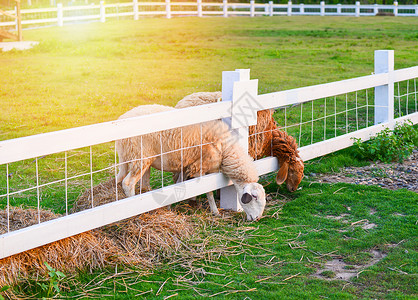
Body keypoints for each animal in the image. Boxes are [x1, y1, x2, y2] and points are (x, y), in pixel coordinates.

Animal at [115, 104, 264, 221]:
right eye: (254, 197)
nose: (257, 218)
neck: (225, 148)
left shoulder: (187, 166)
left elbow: (179, 183)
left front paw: (170, 206)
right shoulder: (201, 166)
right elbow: (208, 191)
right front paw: (215, 211)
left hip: (134, 158)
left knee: (133, 183)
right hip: (140, 157)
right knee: (127, 183)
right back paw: (135, 213)